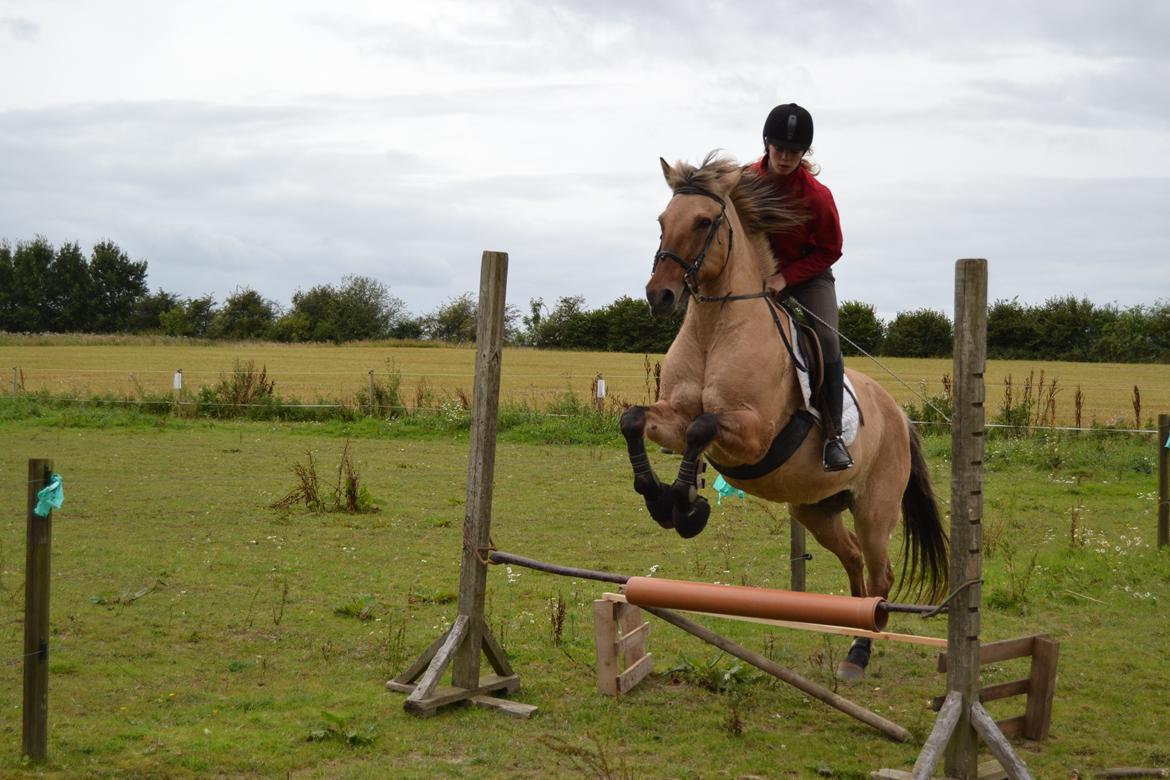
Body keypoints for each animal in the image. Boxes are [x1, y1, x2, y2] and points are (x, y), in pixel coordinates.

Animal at [617, 154, 945, 682]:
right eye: (662, 221)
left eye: (704, 222)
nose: (659, 296)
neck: (714, 327)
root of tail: (898, 413)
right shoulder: (672, 416)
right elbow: (634, 420)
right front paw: (658, 497)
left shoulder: (752, 434)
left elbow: (702, 428)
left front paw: (686, 506)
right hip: (816, 509)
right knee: (854, 561)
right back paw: (848, 633)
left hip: (875, 511)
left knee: (880, 574)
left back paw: (859, 653)